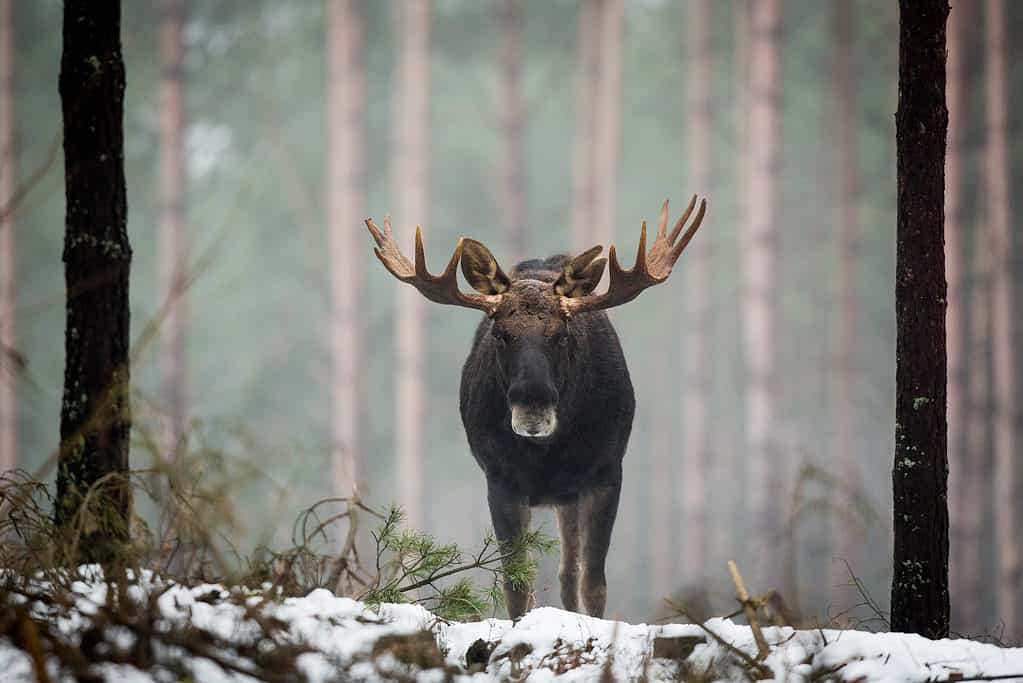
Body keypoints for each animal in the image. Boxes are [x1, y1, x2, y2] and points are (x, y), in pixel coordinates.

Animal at [364, 196, 707, 617]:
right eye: (500, 333)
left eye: (561, 334)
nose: (533, 405)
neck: (547, 455)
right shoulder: (500, 478)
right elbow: (516, 584)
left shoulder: (607, 472)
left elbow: (594, 583)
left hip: (572, 494)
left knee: (570, 574)